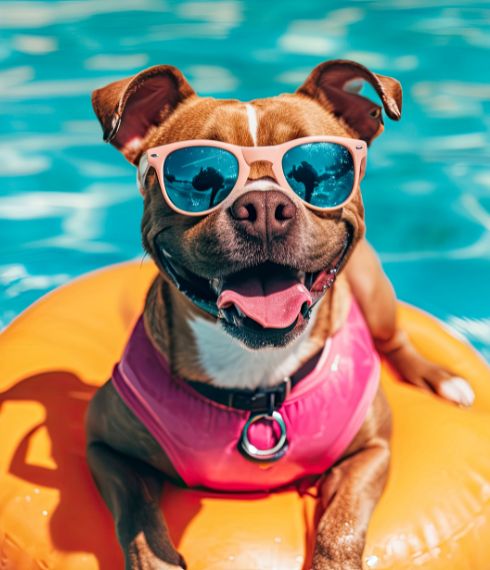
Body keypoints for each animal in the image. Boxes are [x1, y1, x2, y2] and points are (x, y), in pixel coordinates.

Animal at [85, 60, 474, 564]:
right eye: (197, 175)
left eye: (320, 169)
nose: (265, 205)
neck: (257, 373)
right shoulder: (104, 448)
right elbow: (138, 516)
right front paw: (157, 558)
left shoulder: (371, 452)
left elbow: (341, 526)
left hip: (376, 293)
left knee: (396, 340)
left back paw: (441, 379)